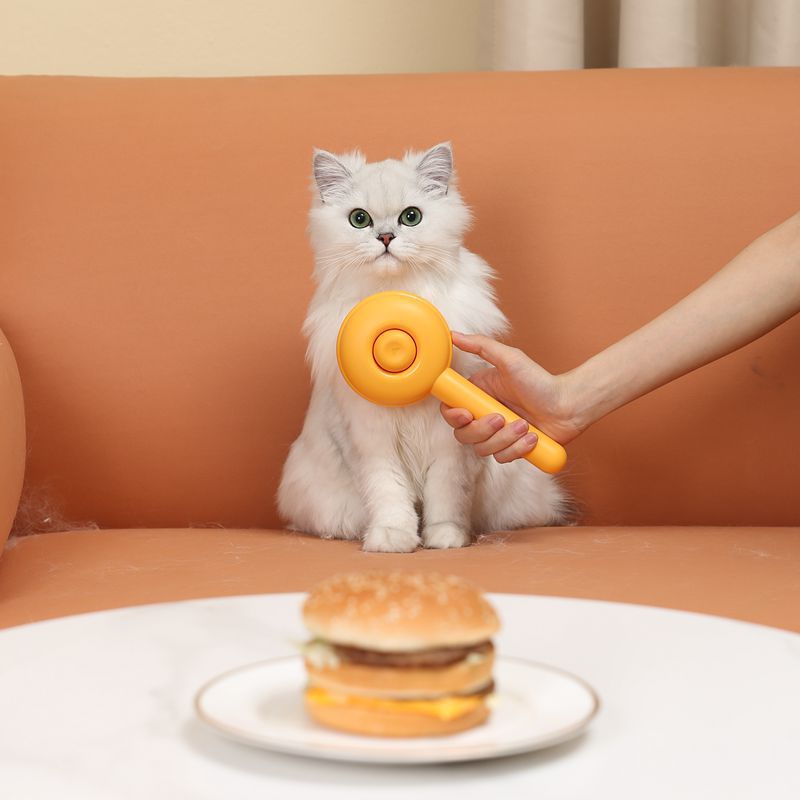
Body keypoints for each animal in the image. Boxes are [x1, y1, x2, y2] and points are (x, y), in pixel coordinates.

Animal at [278, 142, 572, 552]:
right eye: (359, 220)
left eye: (411, 217)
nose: (386, 237)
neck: (397, 290)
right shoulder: (370, 439)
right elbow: (389, 494)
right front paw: (392, 538)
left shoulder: (451, 442)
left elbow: (445, 495)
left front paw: (446, 538)